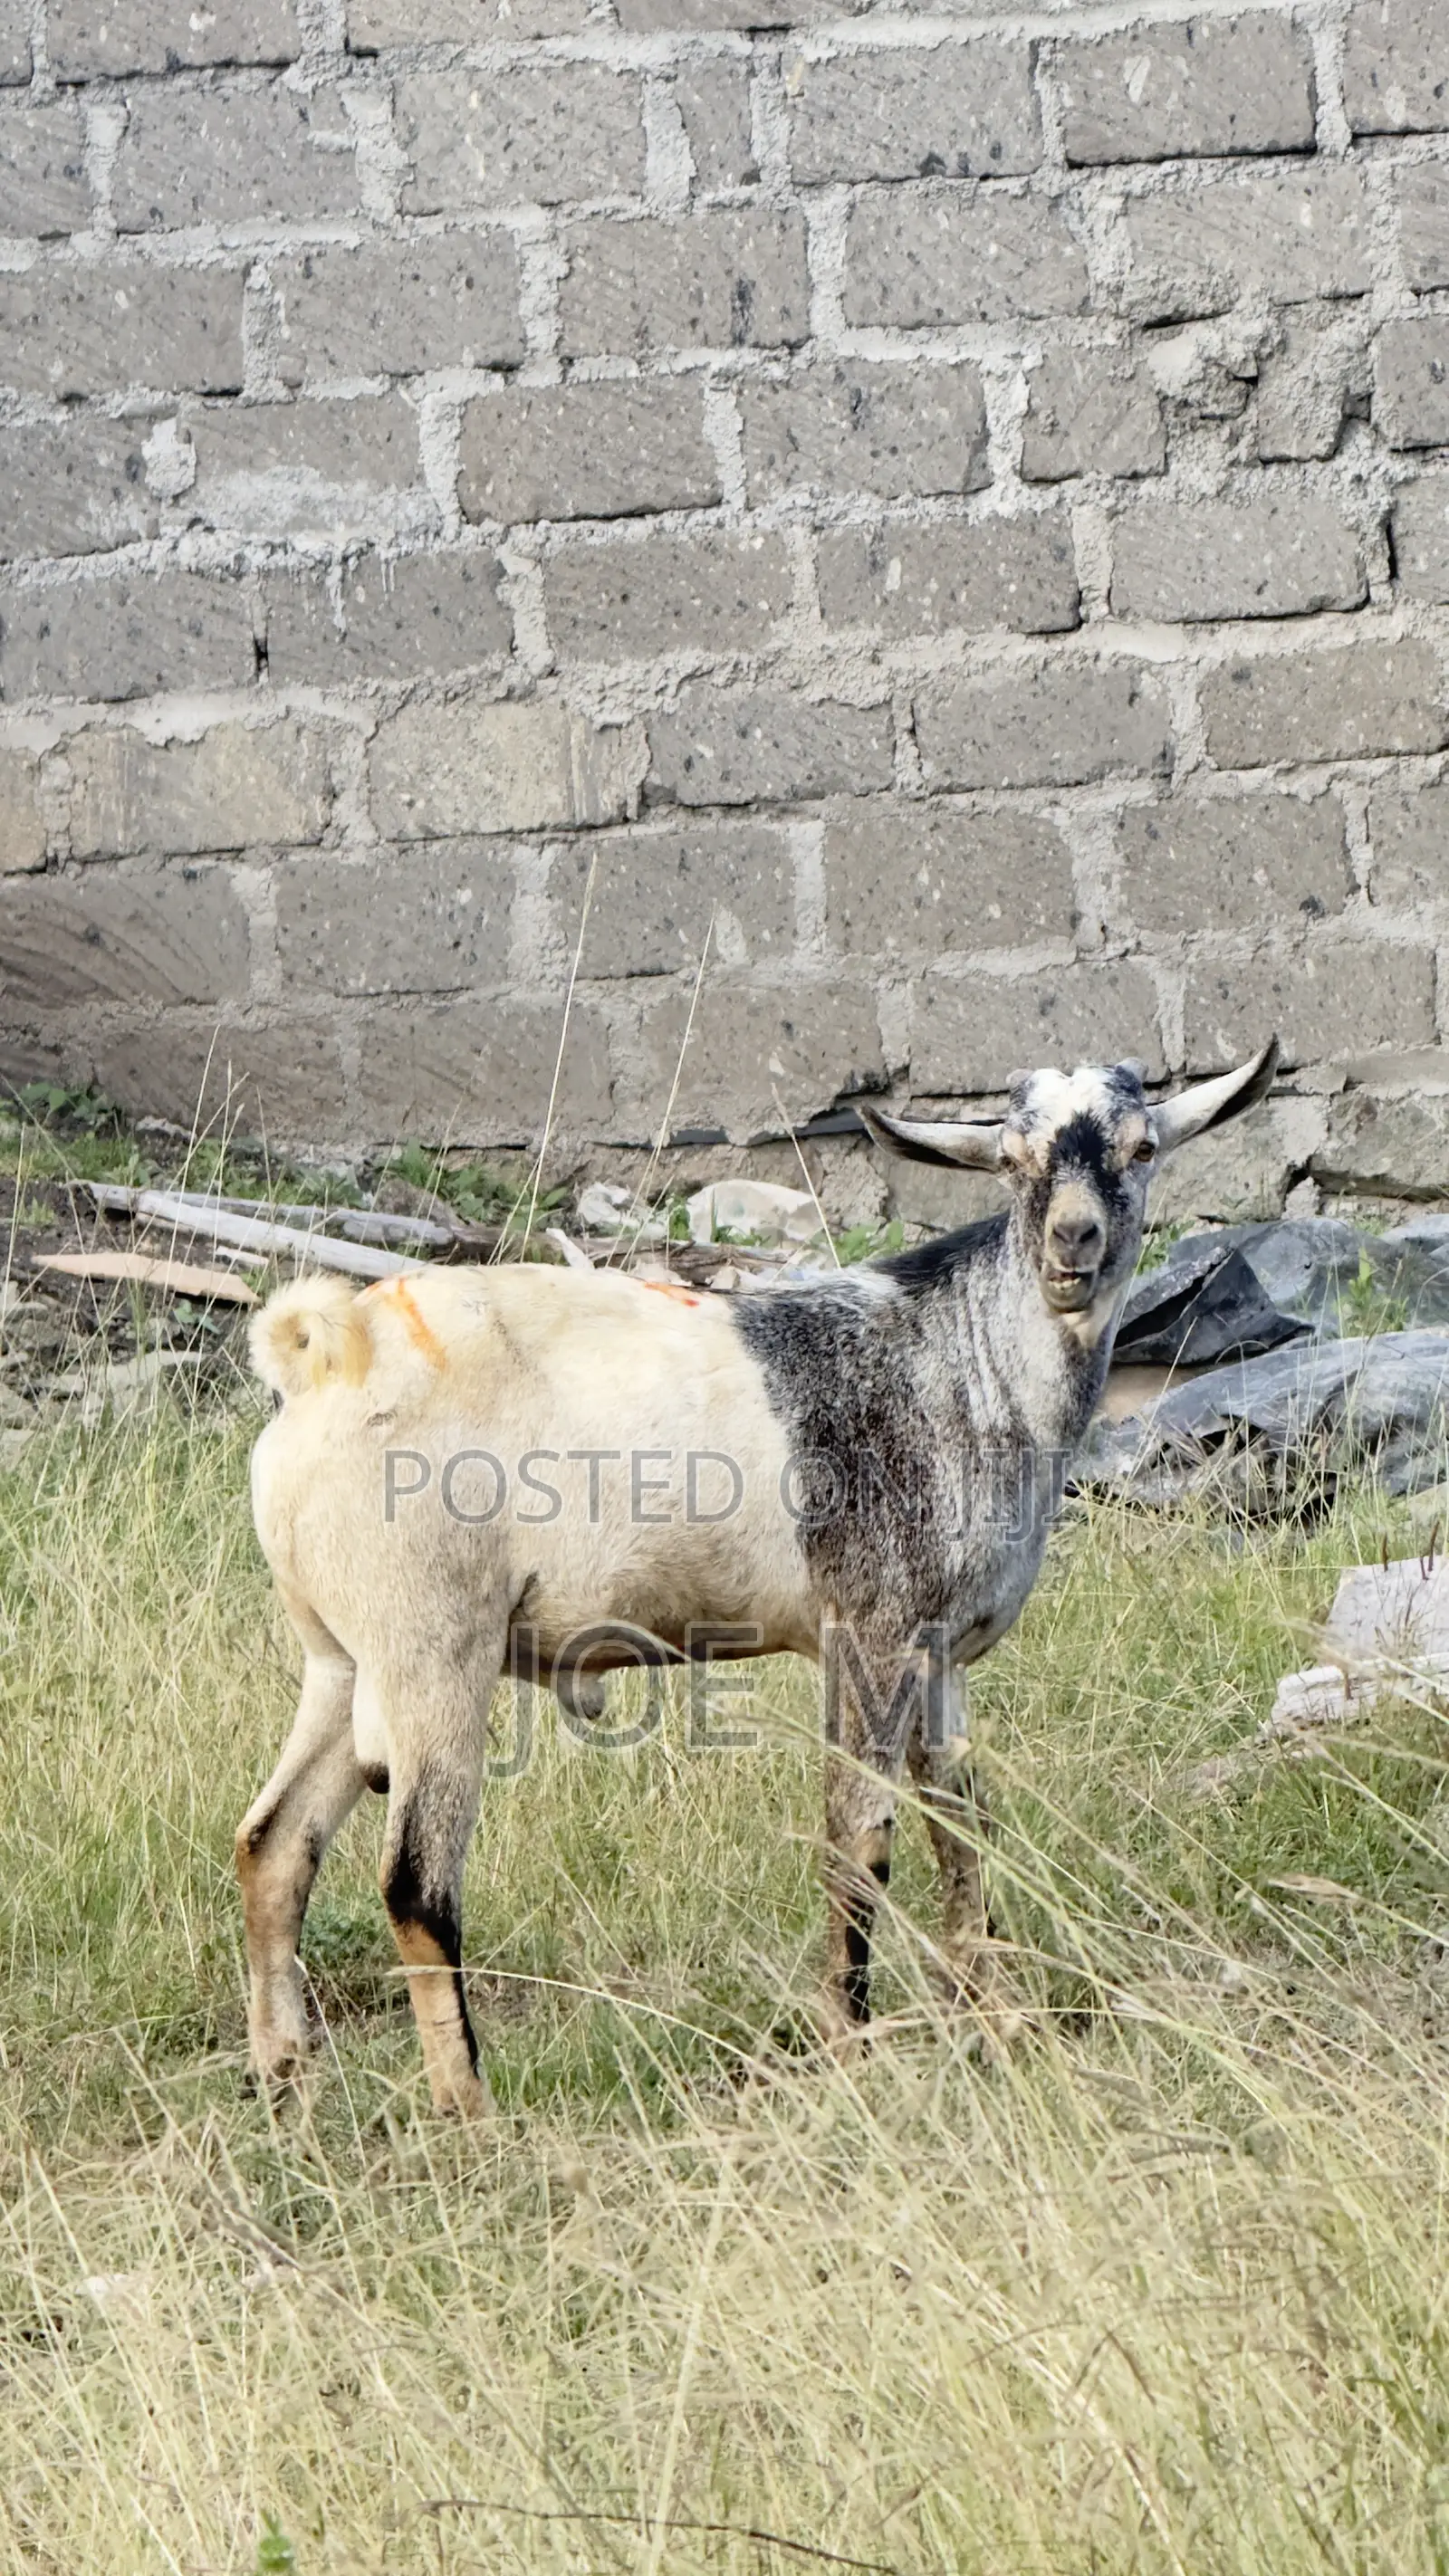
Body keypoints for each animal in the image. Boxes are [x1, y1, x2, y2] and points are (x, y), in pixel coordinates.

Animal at [239, 1039, 1277, 2114]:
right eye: (1011, 1159)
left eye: (1142, 1146)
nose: (1074, 1240)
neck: (962, 1361)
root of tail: (326, 1360)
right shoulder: (871, 1632)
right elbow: (859, 1842)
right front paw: (851, 2048)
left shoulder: (940, 1653)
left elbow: (965, 1830)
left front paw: (1002, 2024)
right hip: (433, 1648)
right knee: (415, 1881)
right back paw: (471, 2108)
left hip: (341, 1657)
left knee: (274, 1842)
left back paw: (283, 2073)